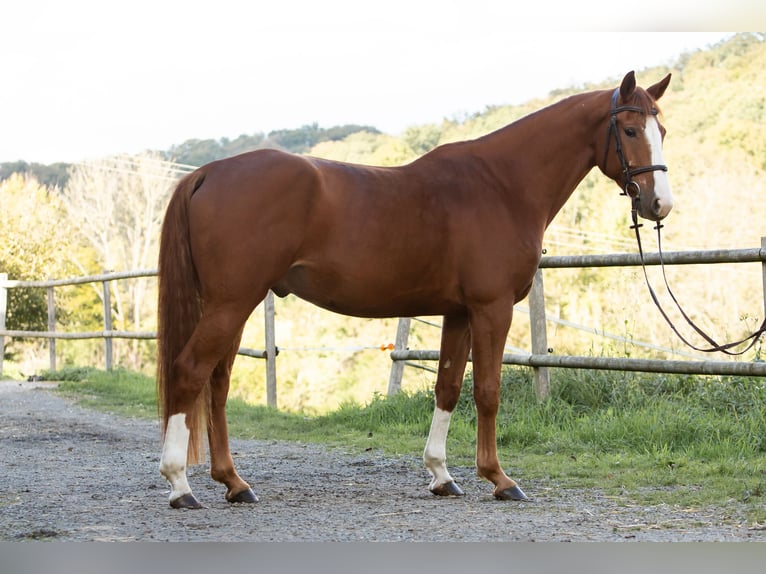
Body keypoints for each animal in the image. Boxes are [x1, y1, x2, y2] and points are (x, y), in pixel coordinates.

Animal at [158, 71, 672, 508]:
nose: (659, 204)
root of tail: (207, 173)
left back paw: (234, 482)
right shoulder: (492, 308)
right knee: (190, 372)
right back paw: (181, 486)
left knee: (217, 383)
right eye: (630, 130)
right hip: (232, 302)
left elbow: (448, 386)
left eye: (661, 130)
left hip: (233, 305)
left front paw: (442, 475)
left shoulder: (459, 312)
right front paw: (500, 479)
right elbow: (488, 390)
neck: (502, 185)